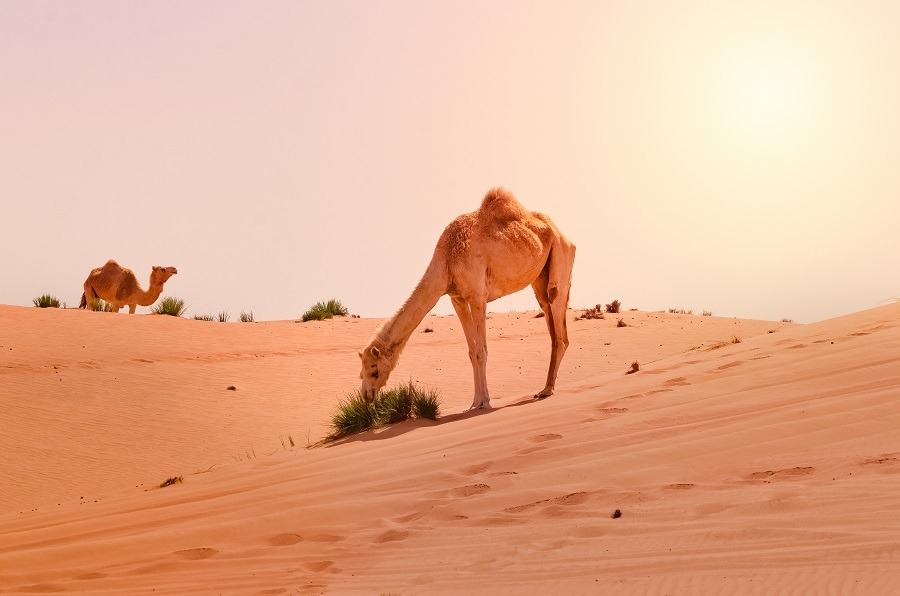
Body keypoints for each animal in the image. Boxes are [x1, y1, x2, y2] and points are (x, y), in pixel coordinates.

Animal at [360, 187, 576, 410]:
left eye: (374, 371)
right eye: (362, 372)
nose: (366, 396)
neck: (447, 260)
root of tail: (563, 235)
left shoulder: (477, 296)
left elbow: (481, 351)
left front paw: (484, 402)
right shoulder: (458, 299)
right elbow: (472, 352)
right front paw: (474, 402)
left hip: (561, 258)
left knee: (559, 327)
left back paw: (547, 390)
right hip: (540, 278)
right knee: (551, 322)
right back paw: (544, 389)